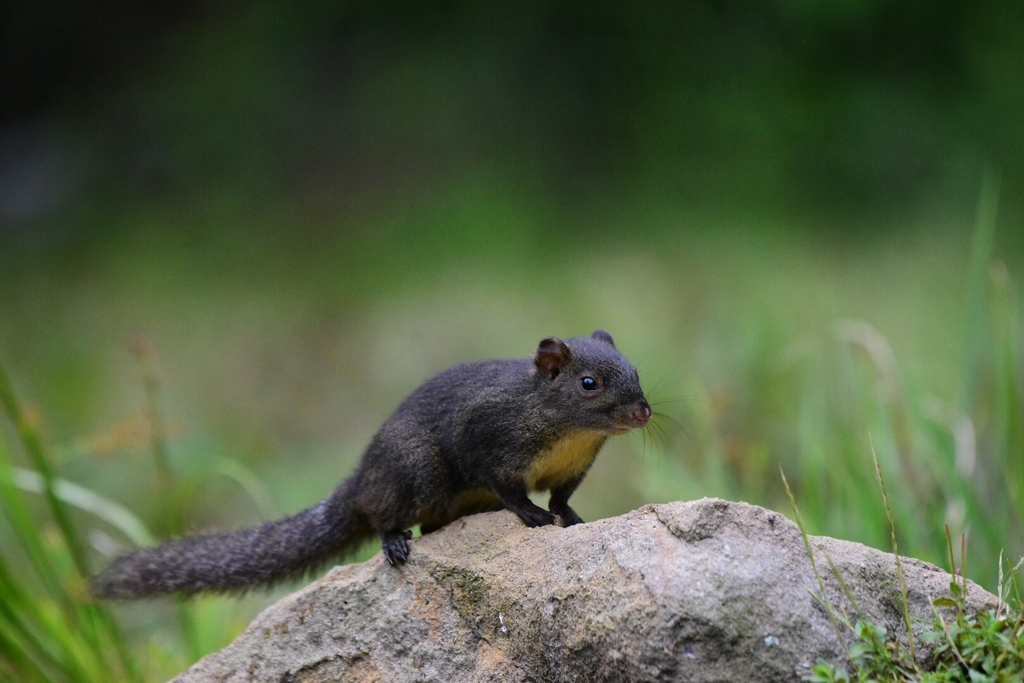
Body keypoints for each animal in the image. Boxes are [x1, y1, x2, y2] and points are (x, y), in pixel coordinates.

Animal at [92, 329, 651, 598]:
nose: (644, 412)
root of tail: (362, 478)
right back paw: (395, 543)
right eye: (589, 384)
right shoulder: (487, 441)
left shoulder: (573, 469)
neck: (570, 437)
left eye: (636, 372)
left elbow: (561, 496)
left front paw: (572, 518)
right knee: (386, 516)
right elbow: (511, 491)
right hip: (416, 471)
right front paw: (533, 516)